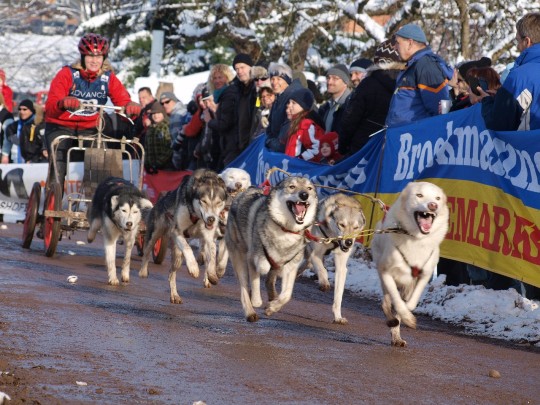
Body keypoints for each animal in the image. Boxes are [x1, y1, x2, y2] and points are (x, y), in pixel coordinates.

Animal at [139, 166, 228, 300]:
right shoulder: (177, 231)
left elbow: (212, 258)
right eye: (203, 201)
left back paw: (174, 295)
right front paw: (193, 267)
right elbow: (188, 248)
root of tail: (161, 199)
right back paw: (143, 271)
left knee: (171, 273)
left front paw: (212, 275)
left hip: (178, 258)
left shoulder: (208, 238)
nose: (211, 219)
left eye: (218, 203)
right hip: (156, 234)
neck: (197, 217)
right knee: (147, 251)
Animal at [226, 175, 318, 320]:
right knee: (244, 287)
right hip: (239, 258)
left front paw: (272, 307)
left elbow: (287, 295)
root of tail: (244, 191)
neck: (286, 230)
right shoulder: (253, 259)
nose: (304, 195)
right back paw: (250, 312)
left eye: (309, 188)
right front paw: (257, 301)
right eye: (292, 186)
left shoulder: (291, 267)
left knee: (270, 280)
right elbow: (257, 280)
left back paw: (272, 297)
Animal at [300, 193, 368, 326]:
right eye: (342, 224)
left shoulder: (341, 266)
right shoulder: (315, 254)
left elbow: (338, 296)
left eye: (356, 227)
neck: (332, 238)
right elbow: (323, 270)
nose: (348, 242)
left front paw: (338, 317)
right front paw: (324, 283)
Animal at [370, 181, 450, 346]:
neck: (416, 238)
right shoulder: (387, 273)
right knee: (386, 302)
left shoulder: (424, 276)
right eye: (419, 195)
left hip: (408, 285)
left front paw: (406, 315)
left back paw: (397, 335)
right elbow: (397, 302)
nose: (433, 205)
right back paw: (391, 319)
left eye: (438, 198)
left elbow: (410, 304)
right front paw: (405, 316)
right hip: (383, 273)